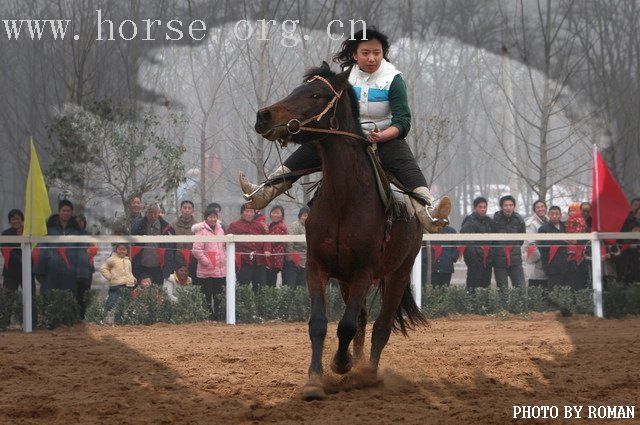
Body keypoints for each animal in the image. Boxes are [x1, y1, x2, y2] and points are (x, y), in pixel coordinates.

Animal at [254, 61, 424, 400]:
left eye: (316, 94)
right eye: (297, 89)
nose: (264, 115)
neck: (345, 199)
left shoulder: (363, 271)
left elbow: (346, 326)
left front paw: (341, 365)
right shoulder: (317, 267)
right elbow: (320, 323)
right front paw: (314, 381)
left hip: (398, 272)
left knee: (381, 326)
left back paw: (367, 373)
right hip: (346, 279)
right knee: (361, 320)